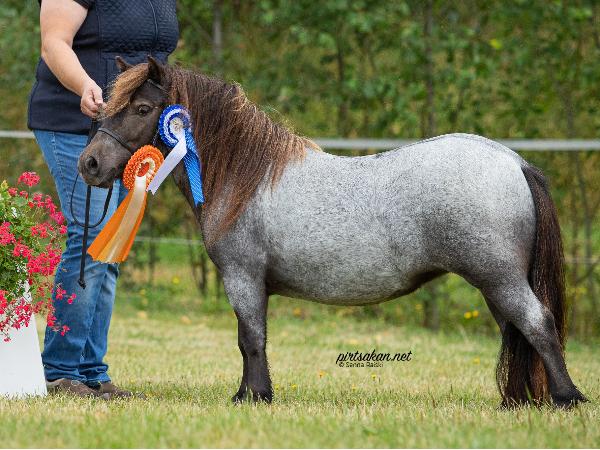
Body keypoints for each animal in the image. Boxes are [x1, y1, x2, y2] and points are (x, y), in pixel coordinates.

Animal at [79, 56, 588, 408]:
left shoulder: (243, 278)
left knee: (538, 325)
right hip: (496, 283)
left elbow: (251, 339)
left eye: (142, 107)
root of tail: (514, 161)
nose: (90, 164)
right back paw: (517, 403)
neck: (245, 176)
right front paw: (252, 394)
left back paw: (566, 398)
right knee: (518, 332)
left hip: (498, 278)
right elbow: (251, 340)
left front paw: (253, 397)